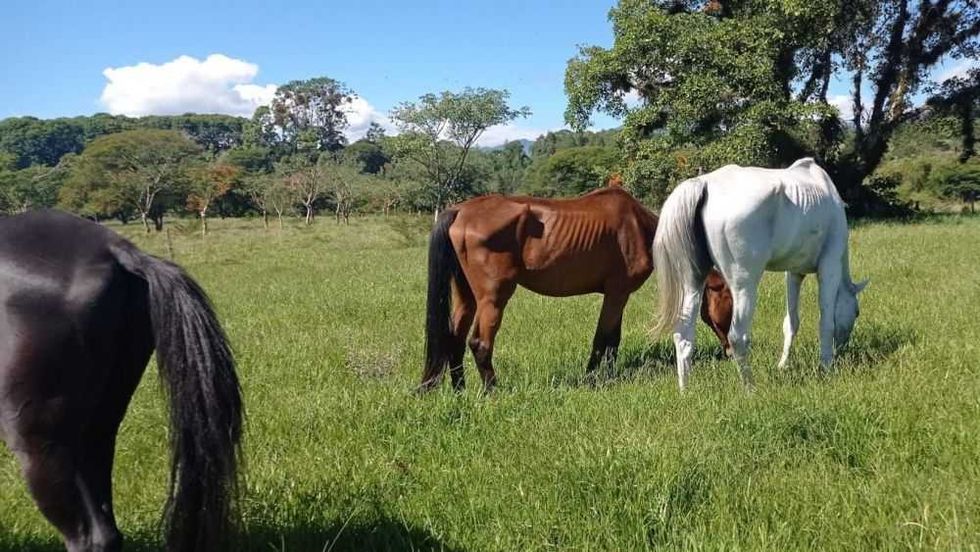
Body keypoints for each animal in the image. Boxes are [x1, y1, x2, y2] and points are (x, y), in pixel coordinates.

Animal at [420, 185, 734, 392]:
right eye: (729, 300)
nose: (731, 350)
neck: (639, 228)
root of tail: (460, 210)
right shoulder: (617, 293)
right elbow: (603, 338)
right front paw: (592, 379)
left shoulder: (617, 296)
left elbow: (613, 339)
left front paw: (607, 375)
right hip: (494, 298)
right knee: (479, 344)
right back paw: (492, 391)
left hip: (466, 296)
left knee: (454, 339)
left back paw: (460, 390)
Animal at [652, 158, 868, 390]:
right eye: (857, 312)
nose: (842, 347)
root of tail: (705, 183)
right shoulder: (830, 267)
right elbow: (826, 322)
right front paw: (826, 366)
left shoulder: (794, 273)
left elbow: (791, 322)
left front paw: (783, 364)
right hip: (744, 286)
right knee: (737, 337)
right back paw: (750, 388)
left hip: (693, 282)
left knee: (683, 336)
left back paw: (686, 390)